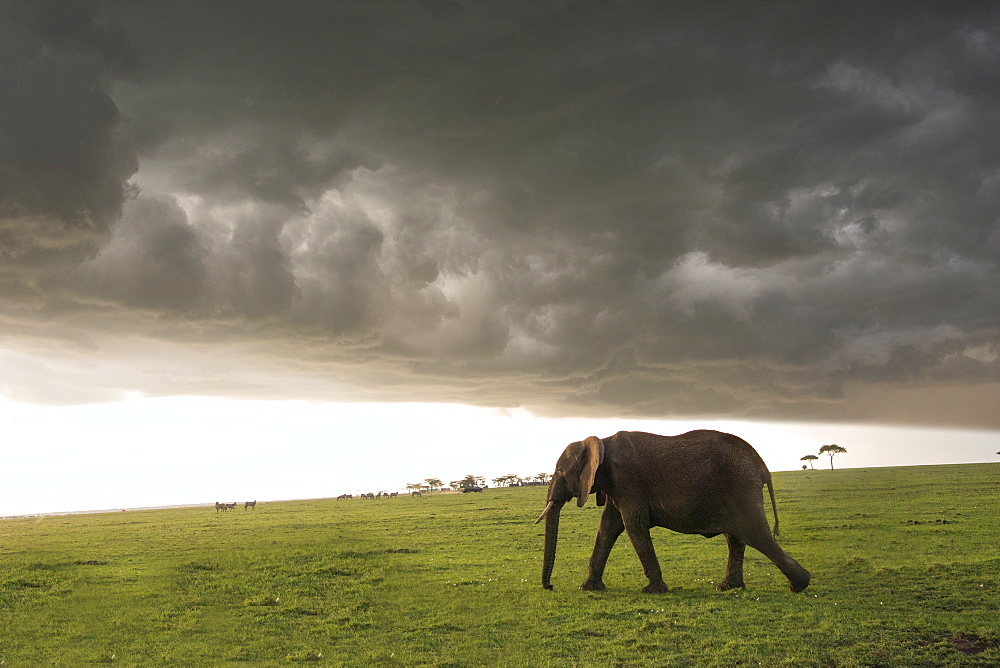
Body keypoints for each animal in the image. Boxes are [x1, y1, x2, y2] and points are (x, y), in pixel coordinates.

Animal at [536, 434, 808, 596]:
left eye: (559, 472)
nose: (550, 586)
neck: (600, 441)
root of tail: (763, 467)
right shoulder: (616, 486)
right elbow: (607, 527)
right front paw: (589, 588)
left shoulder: (627, 481)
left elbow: (633, 525)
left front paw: (653, 591)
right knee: (737, 538)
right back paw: (728, 587)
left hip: (741, 486)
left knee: (756, 535)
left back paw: (800, 584)